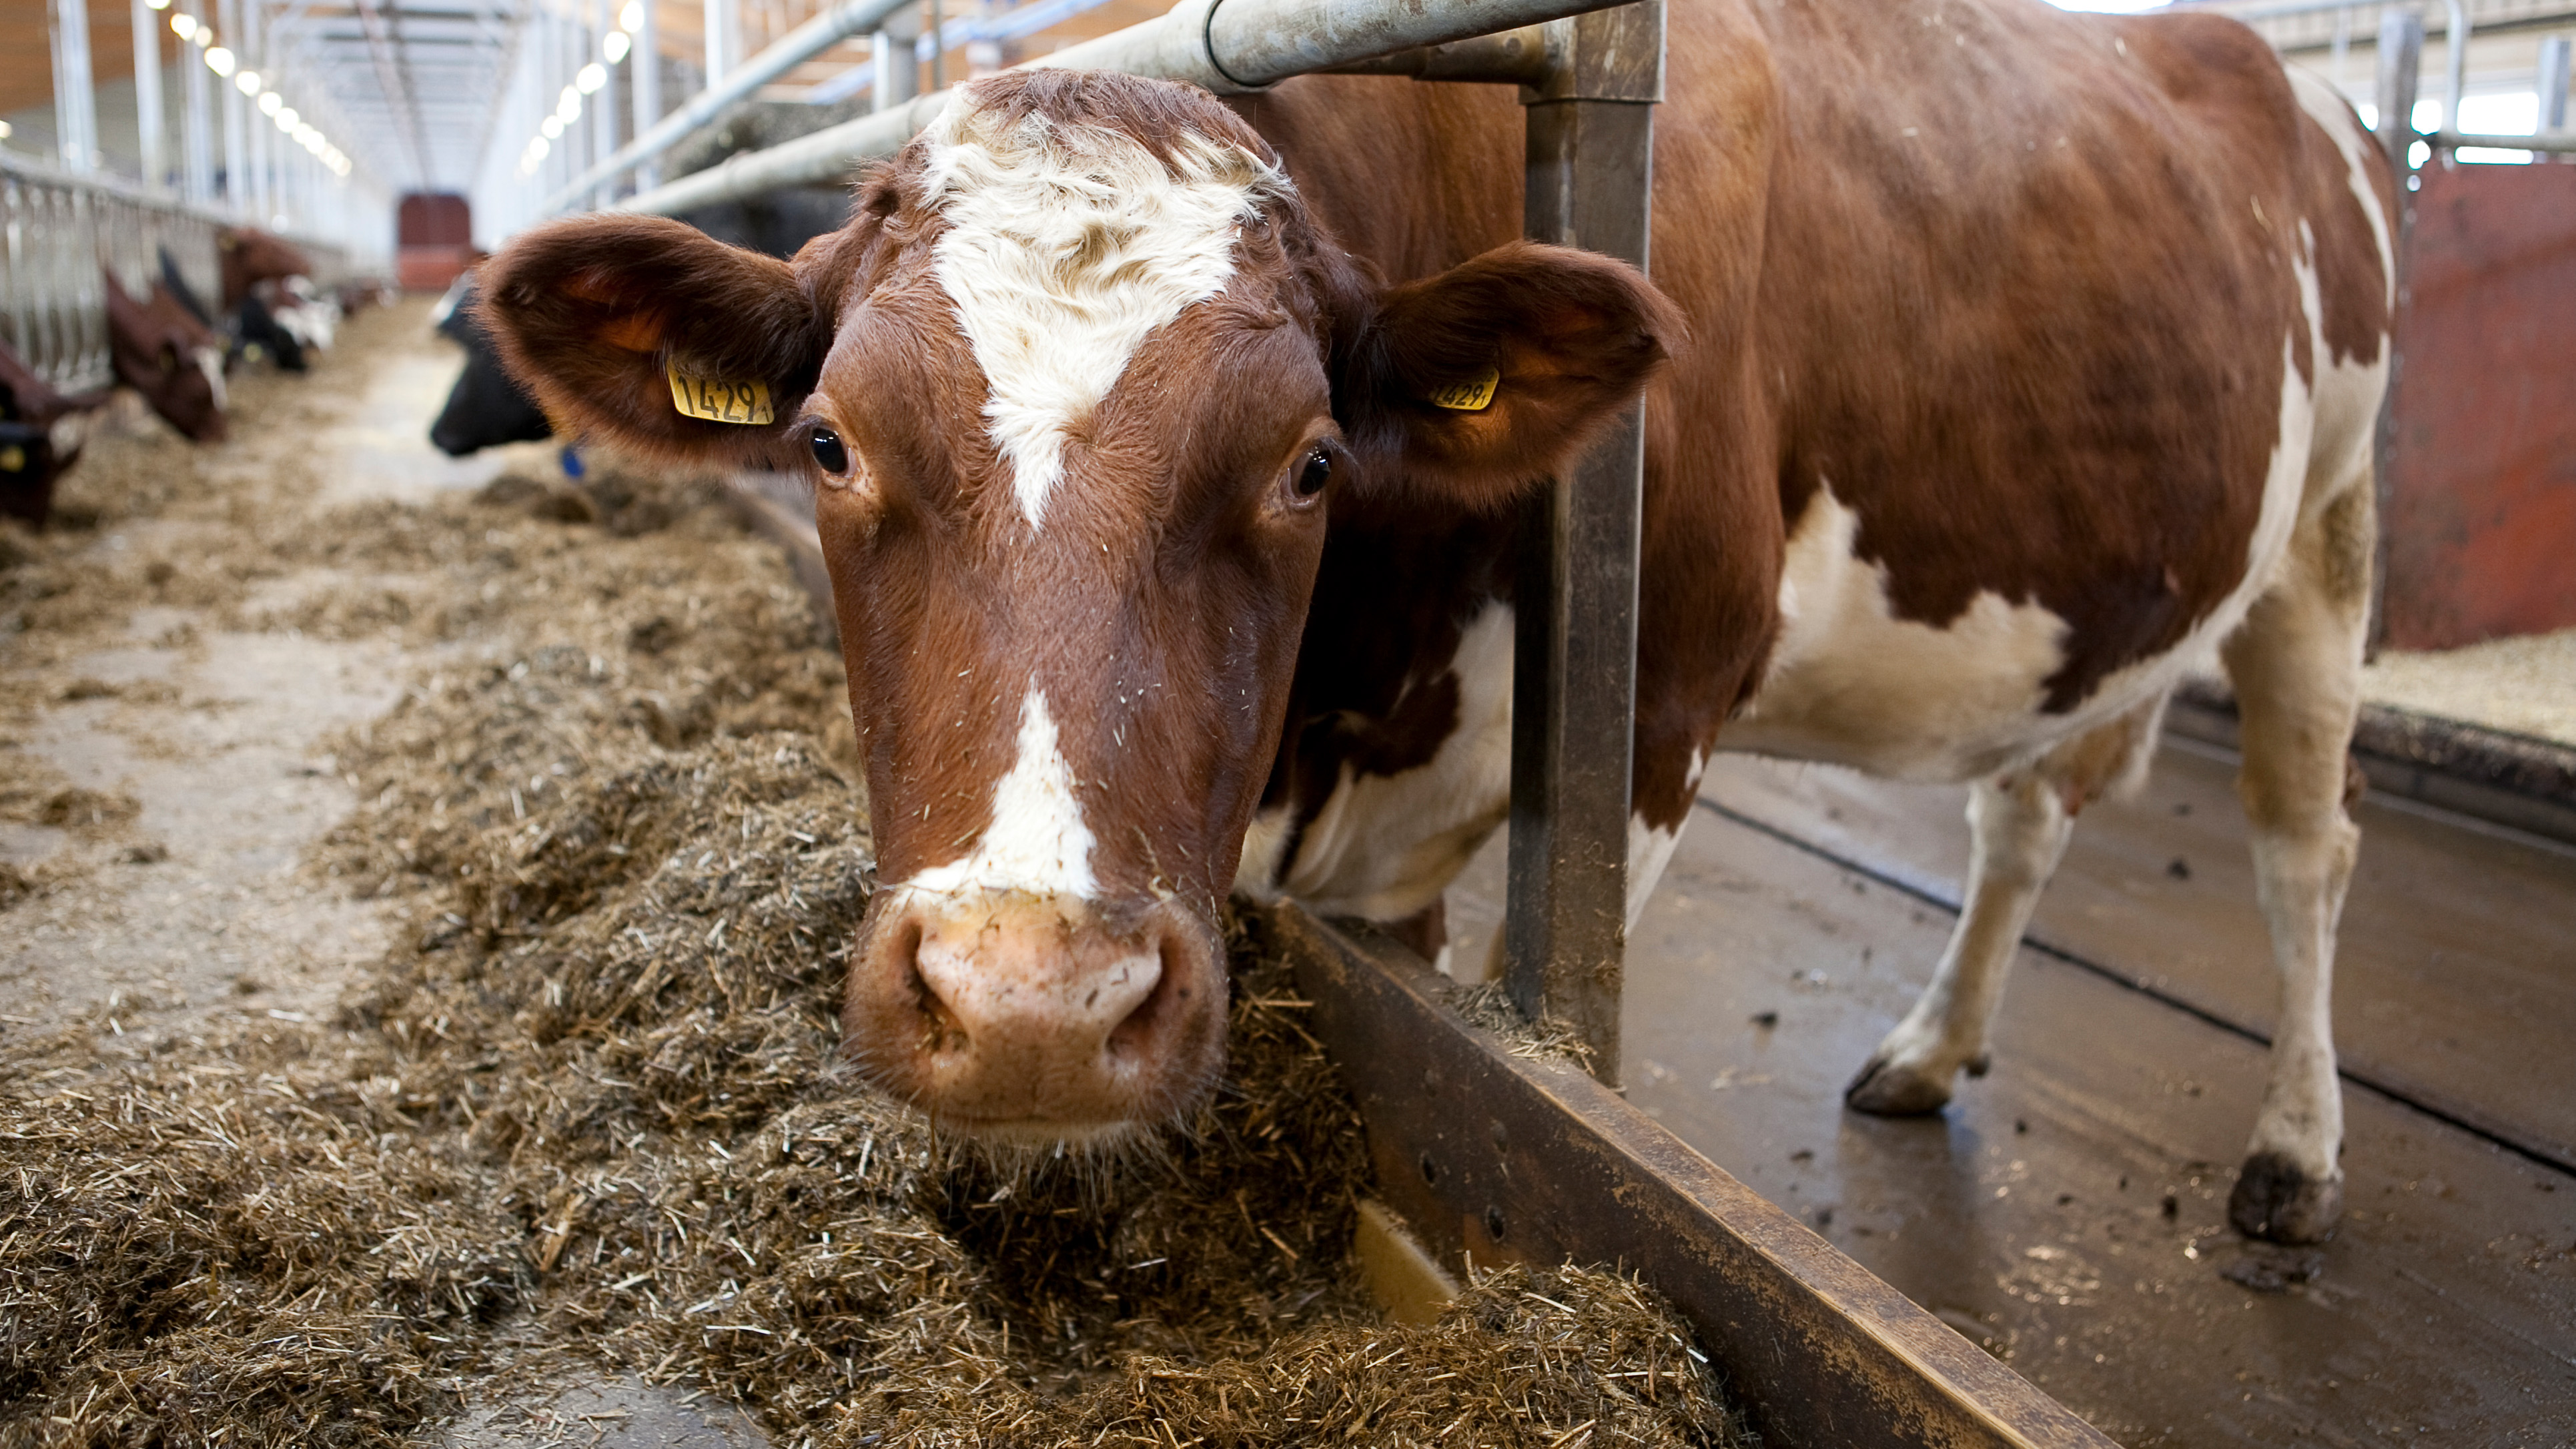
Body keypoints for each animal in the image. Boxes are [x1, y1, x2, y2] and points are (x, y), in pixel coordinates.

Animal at [479, 0, 2395, 1246]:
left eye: (1311, 460)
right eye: (827, 443)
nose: (1035, 1005)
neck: (1335, 724)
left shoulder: (1647, 719)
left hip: (2329, 525)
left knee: (2305, 841)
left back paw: (2299, 1150)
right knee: (2023, 812)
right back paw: (1928, 1050)